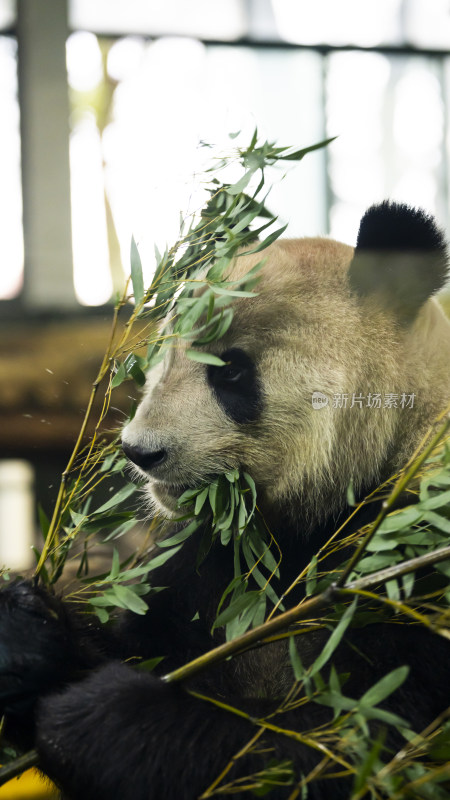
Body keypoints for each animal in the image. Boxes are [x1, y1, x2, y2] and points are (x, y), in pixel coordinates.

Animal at [0, 202, 450, 800]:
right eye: (165, 356)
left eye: (230, 369)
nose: (141, 452)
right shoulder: (207, 555)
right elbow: (150, 645)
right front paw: (26, 638)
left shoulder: (410, 560)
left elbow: (342, 746)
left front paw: (97, 714)